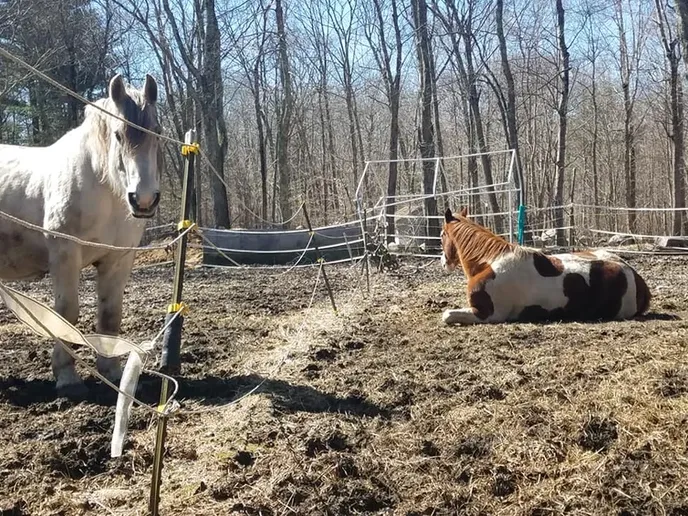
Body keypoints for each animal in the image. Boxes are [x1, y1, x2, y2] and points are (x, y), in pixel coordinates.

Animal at [0, 74, 162, 397]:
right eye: (118, 135)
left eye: (157, 132)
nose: (144, 200)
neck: (103, 188)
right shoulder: (65, 257)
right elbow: (66, 315)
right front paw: (67, 377)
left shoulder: (118, 260)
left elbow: (110, 315)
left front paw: (111, 371)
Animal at [440, 207, 651, 325]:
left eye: (442, 234)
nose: (444, 262)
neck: (489, 262)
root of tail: (635, 276)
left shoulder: (489, 314)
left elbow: (447, 315)